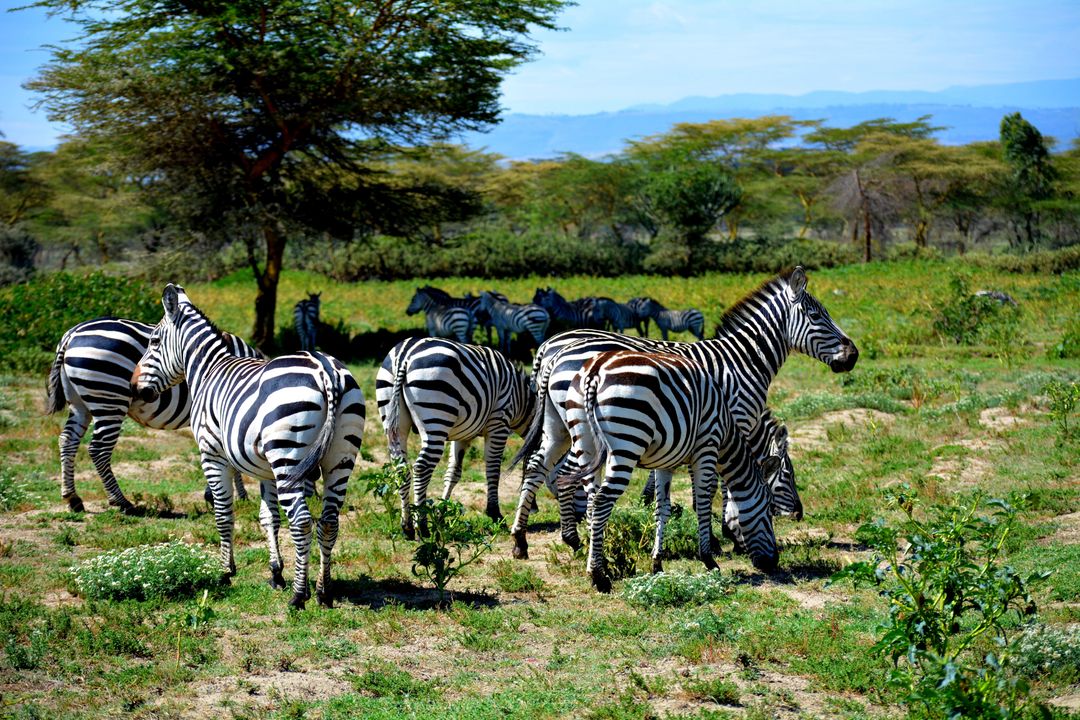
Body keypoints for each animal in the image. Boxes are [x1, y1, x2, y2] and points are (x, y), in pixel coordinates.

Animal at [46, 317, 265, 515]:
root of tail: (72, 333)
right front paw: (238, 496)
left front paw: (217, 495)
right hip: (110, 398)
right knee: (98, 449)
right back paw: (122, 502)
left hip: (79, 404)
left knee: (67, 441)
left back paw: (73, 499)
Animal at [131, 284, 365, 613]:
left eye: (153, 341)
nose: (134, 387)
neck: (208, 370)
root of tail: (326, 370)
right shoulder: (266, 471)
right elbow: (269, 517)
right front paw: (276, 573)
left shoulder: (212, 455)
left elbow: (223, 512)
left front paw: (225, 571)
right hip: (339, 459)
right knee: (329, 522)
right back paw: (323, 592)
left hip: (288, 459)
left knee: (302, 522)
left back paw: (299, 596)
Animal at [375, 336, 535, 535]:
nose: (535, 509)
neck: (520, 399)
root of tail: (405, 354)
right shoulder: (499, 423)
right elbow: (493, 469)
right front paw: (495, 514)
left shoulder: (462, 435)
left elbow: (453, 472)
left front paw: (441, 513)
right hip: (436, 418)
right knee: (421, 467)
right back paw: (422, 526)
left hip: (394, 419)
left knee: (401, 468)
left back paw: (407, 527)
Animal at [561, 349, 781, 591]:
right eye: (770, 509)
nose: (773, 562)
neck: (725, 431)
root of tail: (596, 368)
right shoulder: (706, 447)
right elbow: (703, 503)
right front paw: (709, 559)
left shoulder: (664, 463)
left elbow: (662, 509)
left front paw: (657, 564)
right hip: (627, 443)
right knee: (601, 502)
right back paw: (598, 576)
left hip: (585, 444)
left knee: (592, 504)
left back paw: (601, 566)